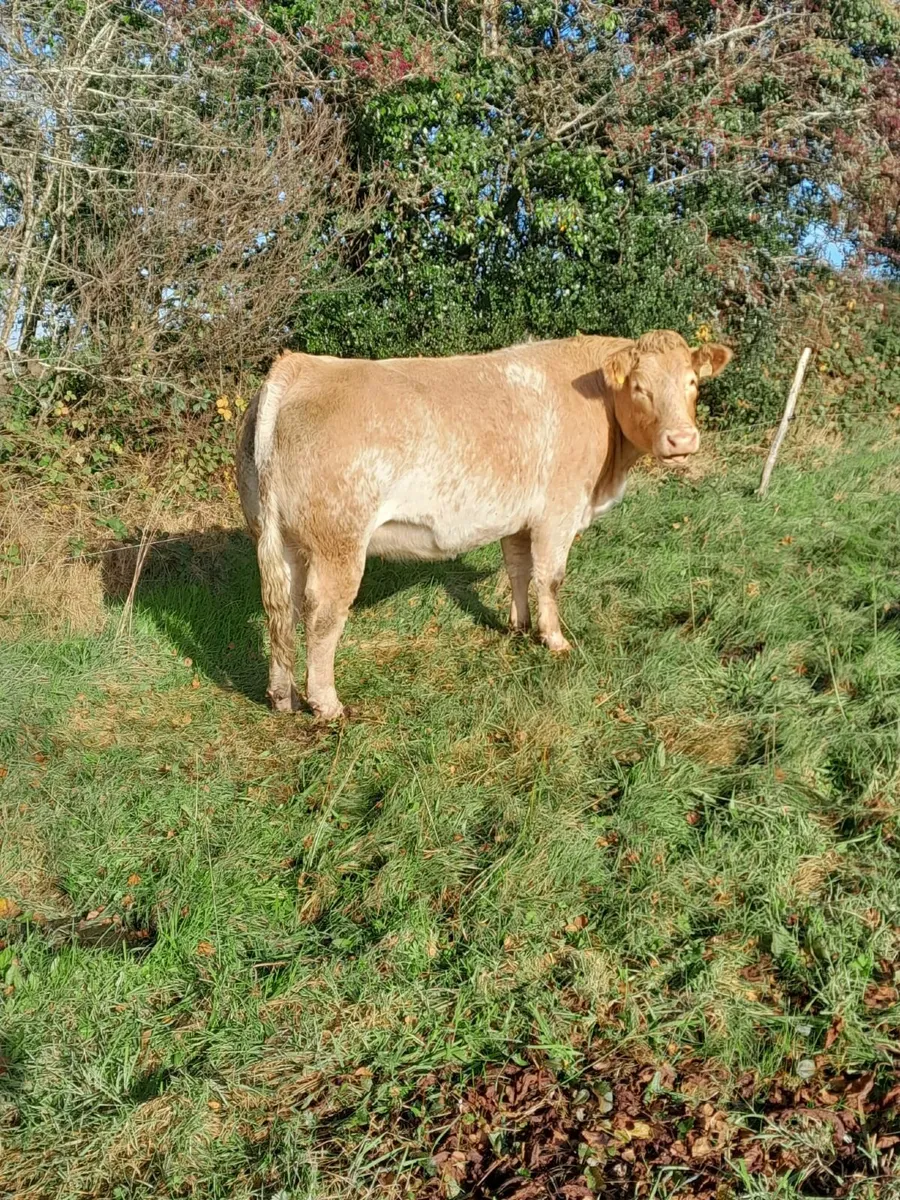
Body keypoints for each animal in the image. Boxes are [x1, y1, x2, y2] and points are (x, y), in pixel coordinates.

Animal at [237, 330, 732, 719]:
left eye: (691, 383)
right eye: (640, 388)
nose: (682, 439)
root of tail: (298, 366)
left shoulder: (518, 517)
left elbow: (518, 569)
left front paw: (518, 626)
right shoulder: (558, 511)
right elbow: (550, 577)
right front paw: (554, 640)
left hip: (281, 539)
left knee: (283, 610)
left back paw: (283, 697)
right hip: (337, 541)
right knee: (322, 616)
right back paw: (326, 705)